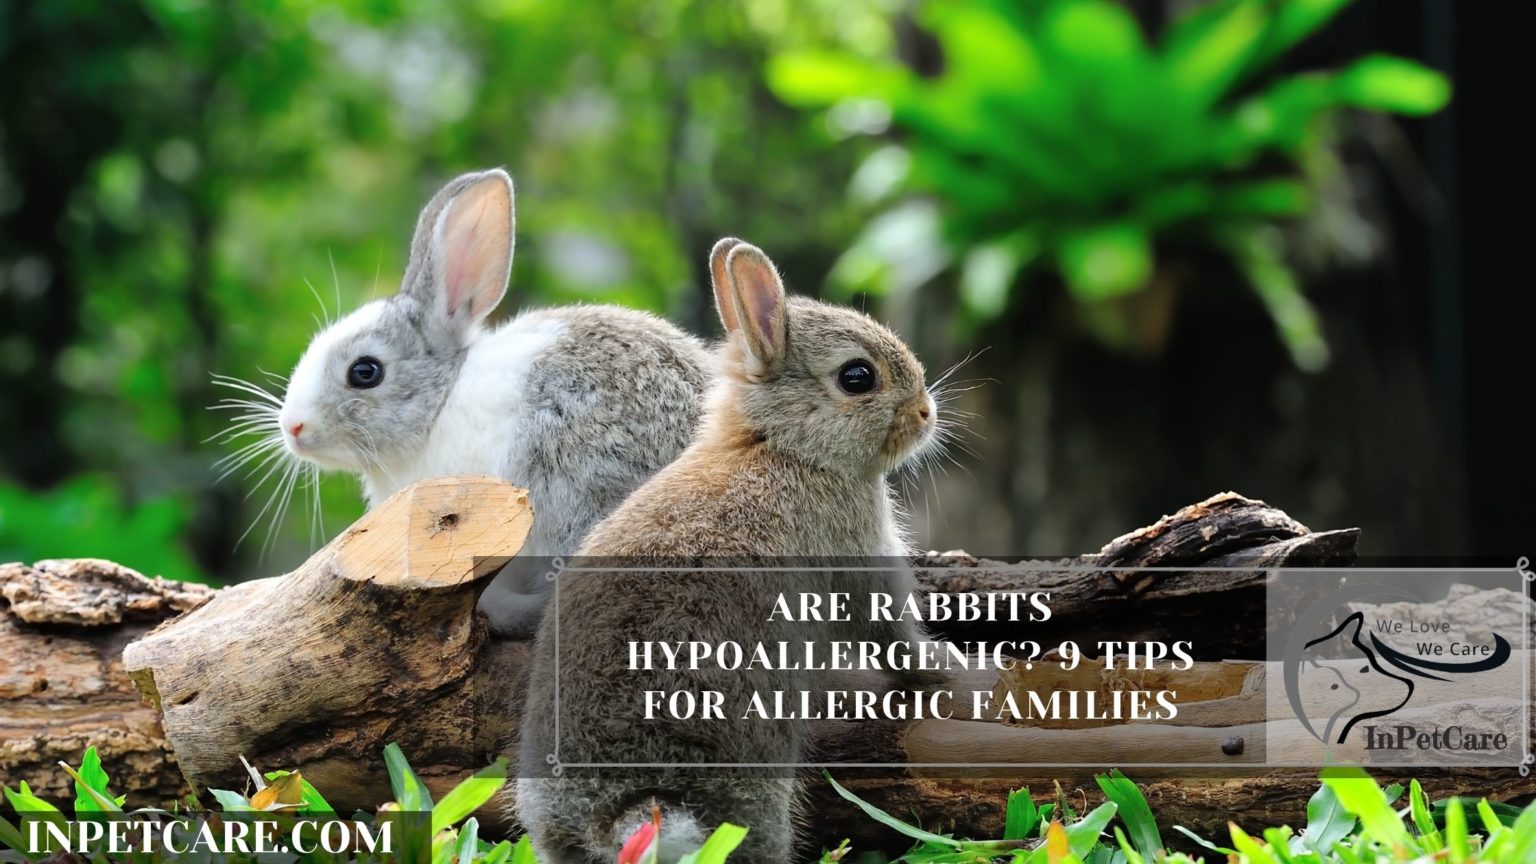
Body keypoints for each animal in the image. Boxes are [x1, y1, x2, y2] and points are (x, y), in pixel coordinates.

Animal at [515, 238, 948, 863]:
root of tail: (621, 811)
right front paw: (944, 667)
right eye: (858, 377)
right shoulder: (857, 554)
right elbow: (889, 634)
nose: (925, 413)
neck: (782, 447)